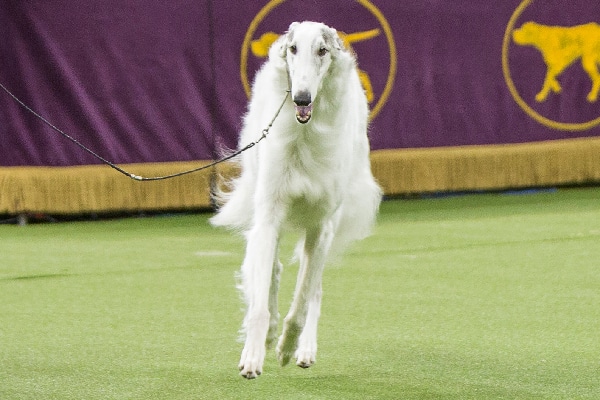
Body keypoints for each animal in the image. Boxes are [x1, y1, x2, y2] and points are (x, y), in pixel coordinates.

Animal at [211, 21, 380, 378]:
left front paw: (288, 346)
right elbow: (262, 299)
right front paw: (253, 354)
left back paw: (304, 349)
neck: (305, 135)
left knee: (313, 289)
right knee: (272, 272)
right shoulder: (269, 215)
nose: (302, 98)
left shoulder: (322, 226)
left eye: (322, 50)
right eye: (292, 49)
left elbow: (302, 302)